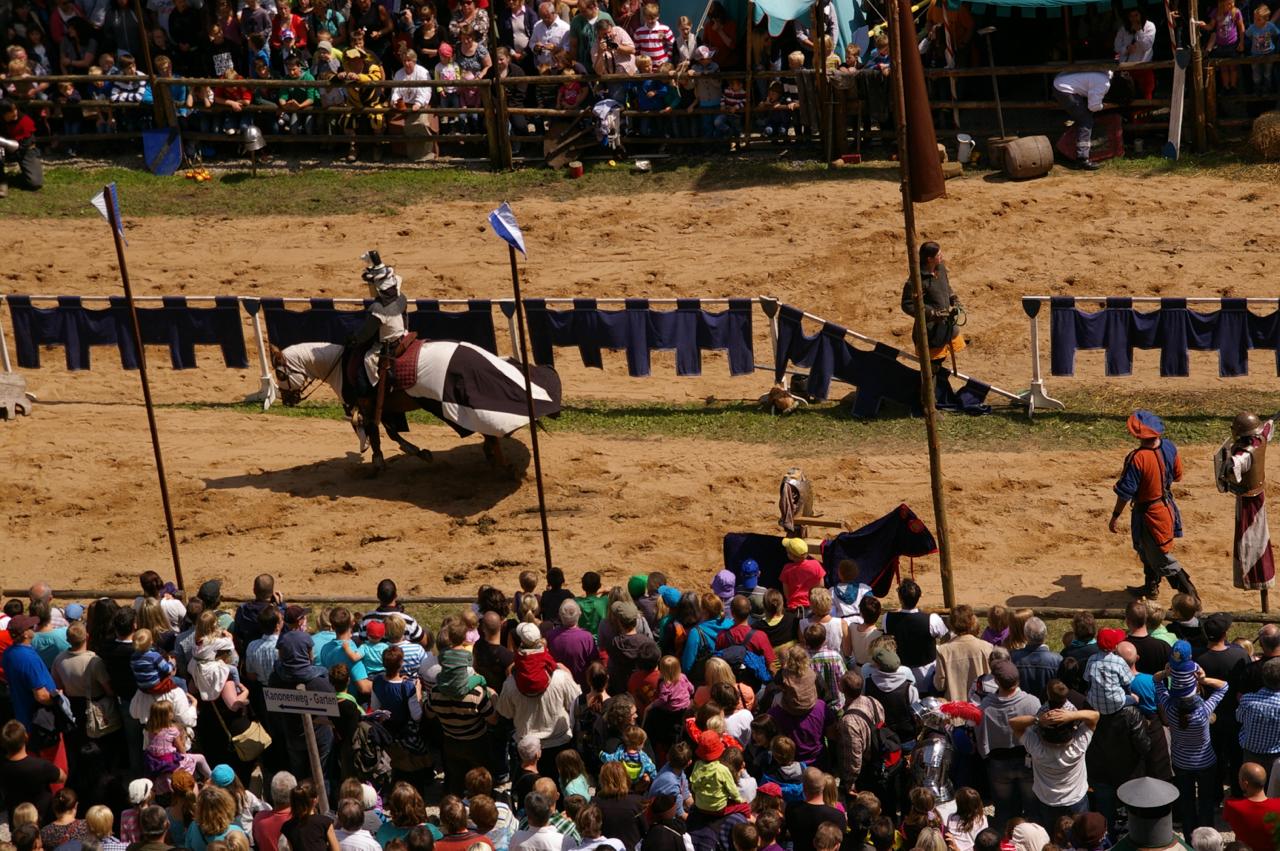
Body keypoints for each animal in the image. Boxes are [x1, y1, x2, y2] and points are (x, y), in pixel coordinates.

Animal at [268, 337, 560, 470]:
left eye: (280, 373)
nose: (287, 400)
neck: (342, 365)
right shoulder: (383, 407)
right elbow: (389, 431)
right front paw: (416, 451)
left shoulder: (368, 404)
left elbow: (376, 432)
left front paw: (379, 461)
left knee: (490, 434)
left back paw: (500, 463)